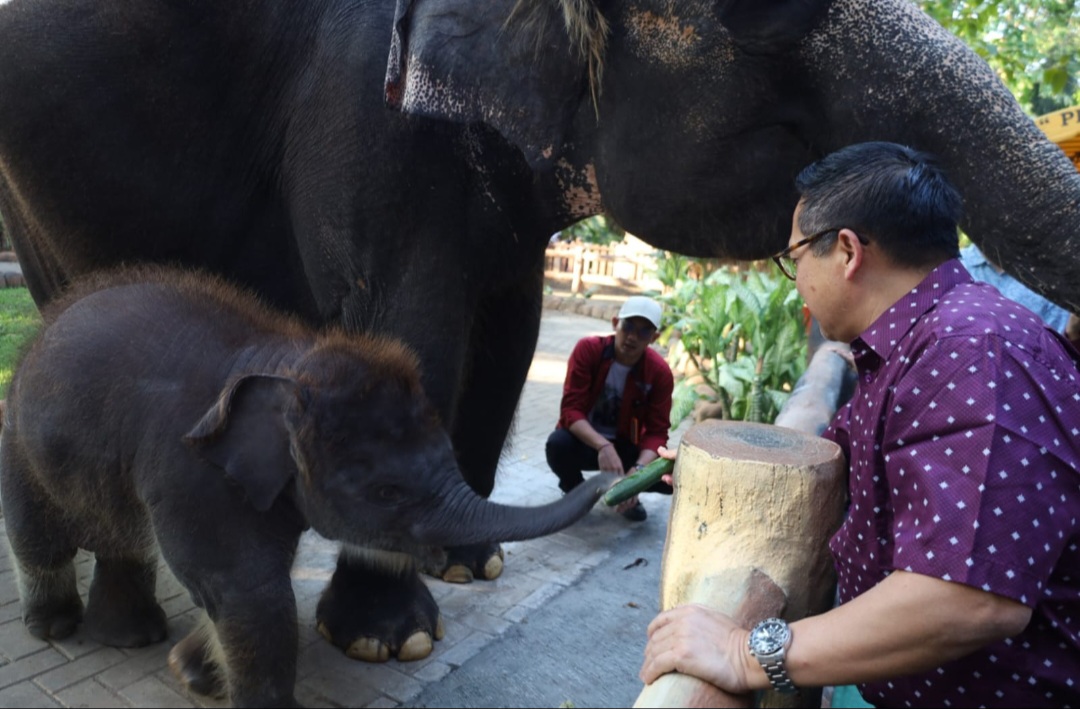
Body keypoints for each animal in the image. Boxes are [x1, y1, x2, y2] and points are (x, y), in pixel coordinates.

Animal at [0, 265, 617, 704]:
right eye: (387, 492)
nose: (613, 472)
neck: (286, 360)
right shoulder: (189, 472)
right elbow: (249, 588)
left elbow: (243, 583)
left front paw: (195, 676)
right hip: (18, 438)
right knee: (40, 537)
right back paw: (55, 627)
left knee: (122, 538)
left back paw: (135, 638)